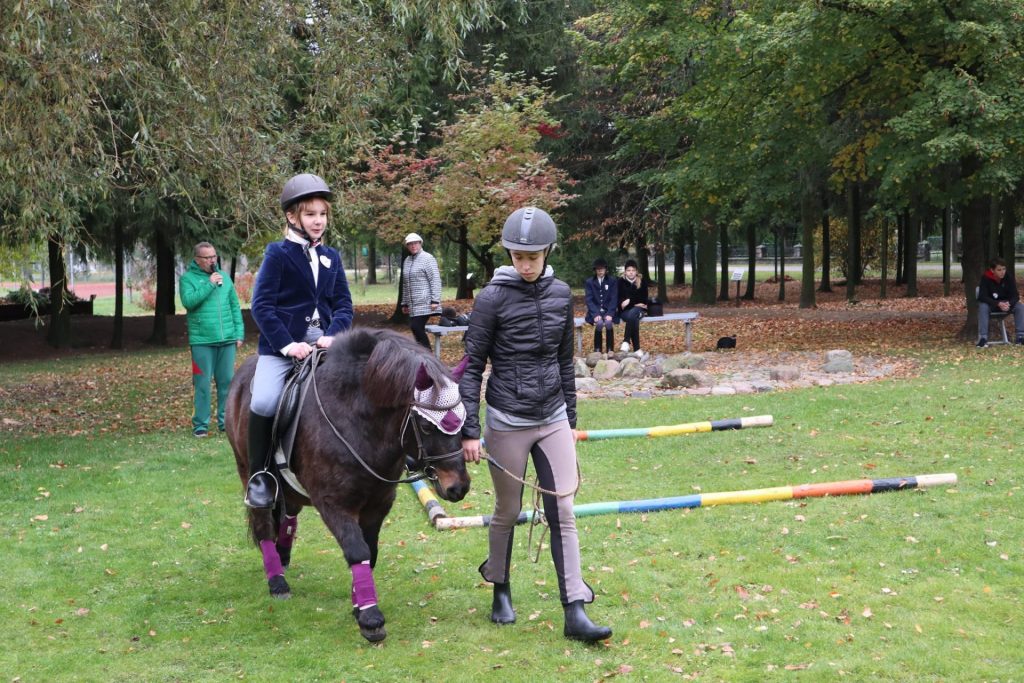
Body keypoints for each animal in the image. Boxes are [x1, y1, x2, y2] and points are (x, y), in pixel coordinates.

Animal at [224, 327, 471, 643]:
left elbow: (371, 552)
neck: (358, 423)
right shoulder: (334, 505)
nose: (458, 487)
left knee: (289, 512)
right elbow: (357, 550)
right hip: (247, 470)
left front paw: (358, 605)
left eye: (464, 419)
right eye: (427, 426)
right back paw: (277, 581)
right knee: (263, 522)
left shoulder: (378, 504)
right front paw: (370, 618)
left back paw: (283, 555)